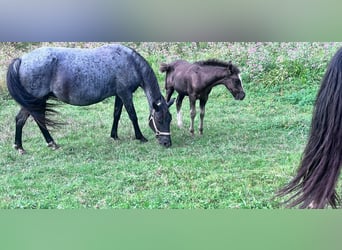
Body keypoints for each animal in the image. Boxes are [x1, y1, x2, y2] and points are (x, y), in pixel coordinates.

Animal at [6, 44, 174, 154]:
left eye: (170, 119)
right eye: (159, 119)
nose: (167, 143)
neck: (130, 62)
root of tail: (21, 60)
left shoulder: (119, 95)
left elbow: (116, 114)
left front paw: (114, 136)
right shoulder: (125, 94)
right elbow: (132, 116)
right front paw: (140, 137)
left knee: (22, 119)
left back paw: (20, 146)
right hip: (36, 100)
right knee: (33, 119)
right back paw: (48, 144)